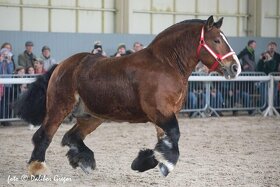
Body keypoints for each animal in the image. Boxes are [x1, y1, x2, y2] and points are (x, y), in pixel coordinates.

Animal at [15, 15, 241, 177]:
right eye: (217, 40)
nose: (235, 67)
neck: (166, 65)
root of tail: (62, 64)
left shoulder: (164, 115)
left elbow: (163, 144)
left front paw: (142, 162)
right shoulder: (160, 112)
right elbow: (174, 139)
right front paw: (165, 165)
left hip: (92, 116)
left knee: (72, 136)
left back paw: (84, 160)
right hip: (60, 107)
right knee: (45, 135)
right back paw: (38, 167)